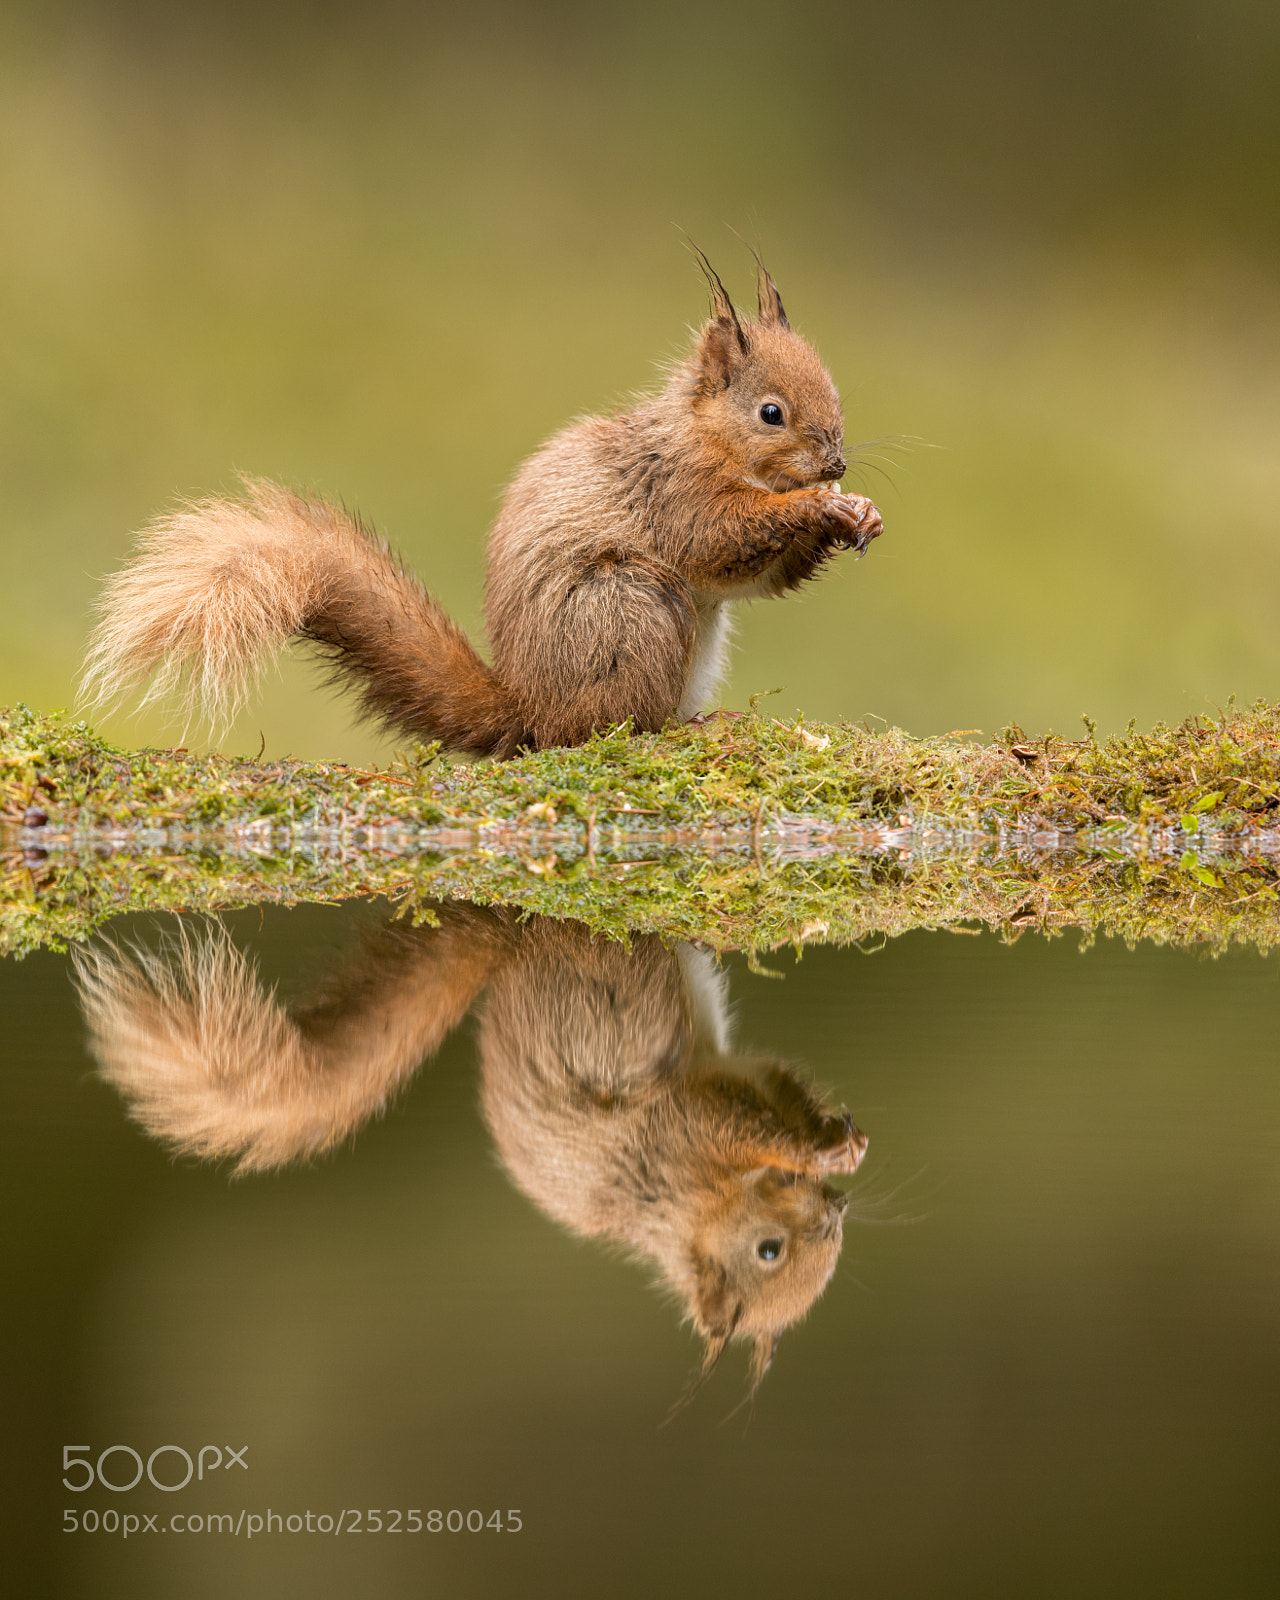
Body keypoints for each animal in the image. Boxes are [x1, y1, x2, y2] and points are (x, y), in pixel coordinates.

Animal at [75, 904, 867, 1401]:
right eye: (768, 1252)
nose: (836, 1216)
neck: (691, 1209)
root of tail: (509, 952)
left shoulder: (752, 1077)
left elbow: (783, 1084)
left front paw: (844, 1144)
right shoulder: (682, 1135)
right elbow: (747, 1128)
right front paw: (820, 1154)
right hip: (617, 989)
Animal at [80, 253, 883, 754]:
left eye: (836, 394)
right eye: (771, 413)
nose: (836, 463)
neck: (707, 439)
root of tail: (531, 708)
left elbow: (753, 578)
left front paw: (860, 511)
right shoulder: (674, 490)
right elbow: (715, 540)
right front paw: (817, 508)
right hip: (631, 608)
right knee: (610, 731)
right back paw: (686, 729)